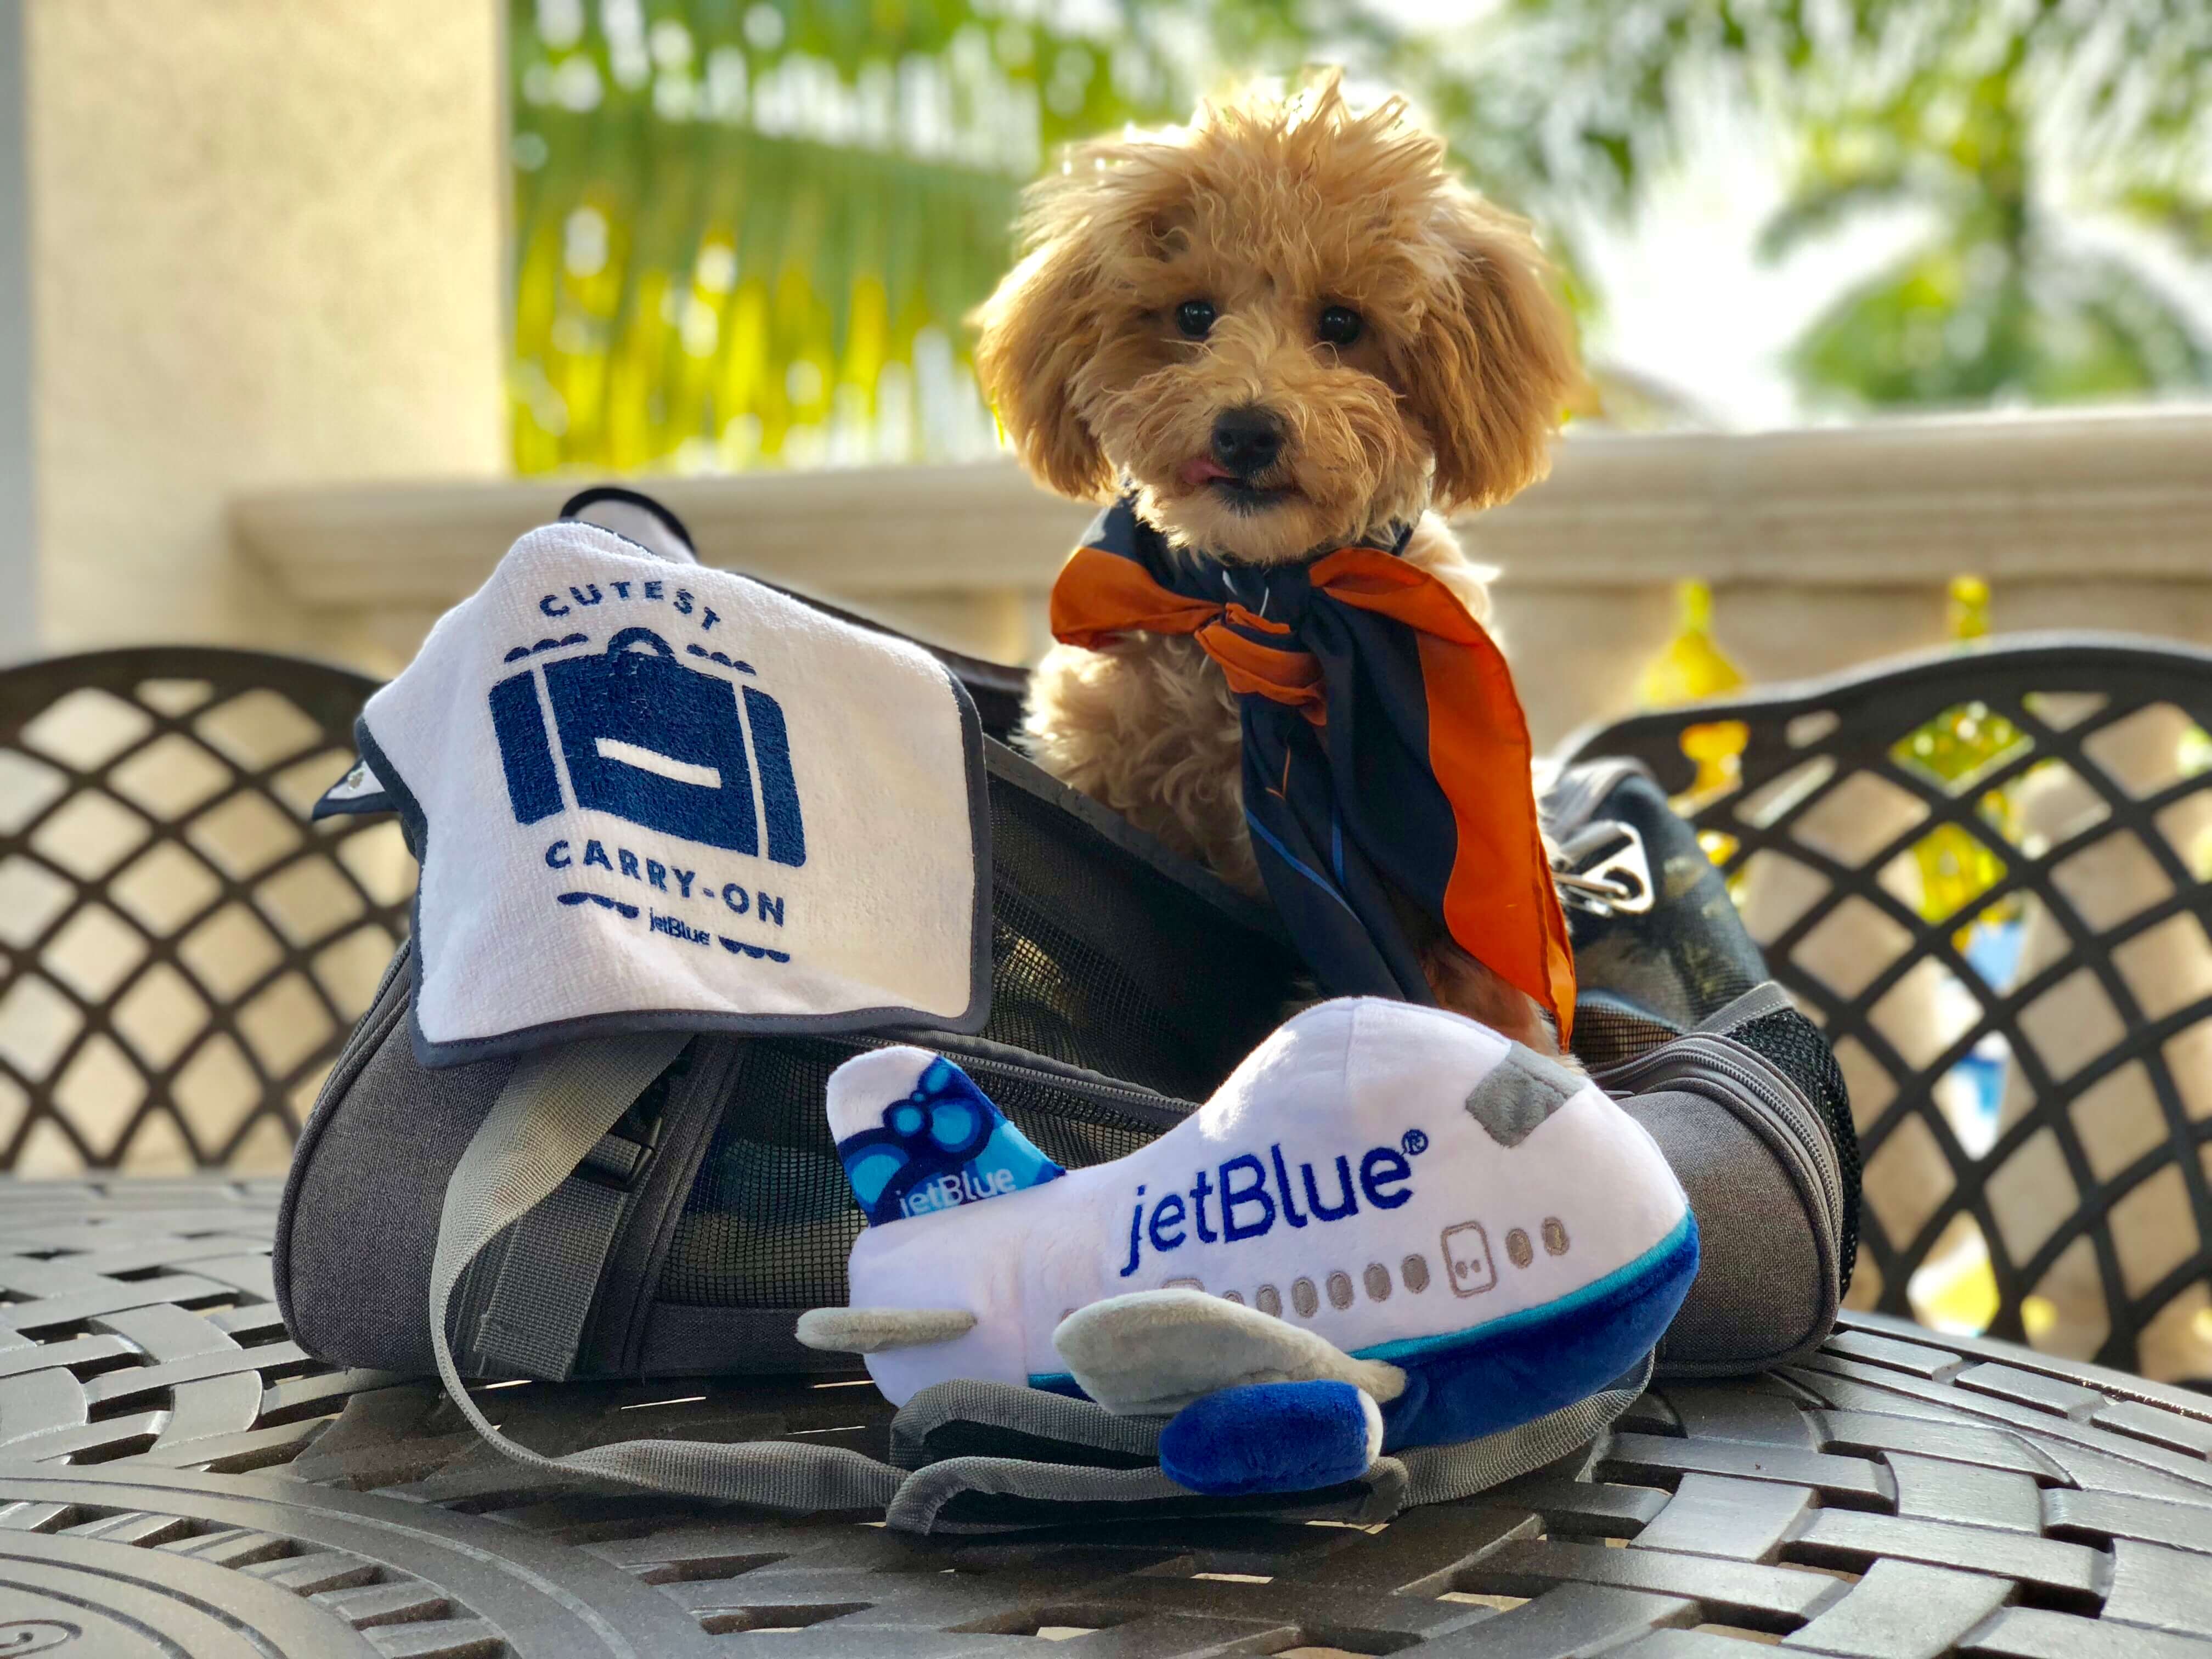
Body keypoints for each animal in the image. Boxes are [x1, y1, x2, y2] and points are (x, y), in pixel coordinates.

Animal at [978, 78, 1583, 1053]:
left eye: (1342, 322)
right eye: (1193, 316)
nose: (1247, 431)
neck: (1266, 598)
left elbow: (1475, 995)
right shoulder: (1102, 772)